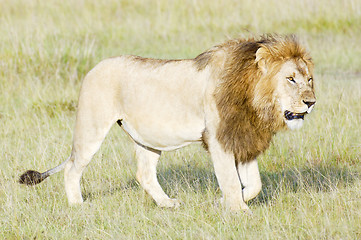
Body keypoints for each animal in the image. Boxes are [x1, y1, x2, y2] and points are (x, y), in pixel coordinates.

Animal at [19, 35, 316, 212]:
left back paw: (167, 204)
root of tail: (93, 68)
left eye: (309, 79)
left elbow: (254, 185)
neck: (255, 102)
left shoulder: (242, 137)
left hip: (147, 138)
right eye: (291, 79)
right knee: (72, 168)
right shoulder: (219, 139)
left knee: (144, 174)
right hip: (91, 128)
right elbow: (231, 181)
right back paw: (78, 206)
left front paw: (222, 201)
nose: (311, 102)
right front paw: (239, 211)